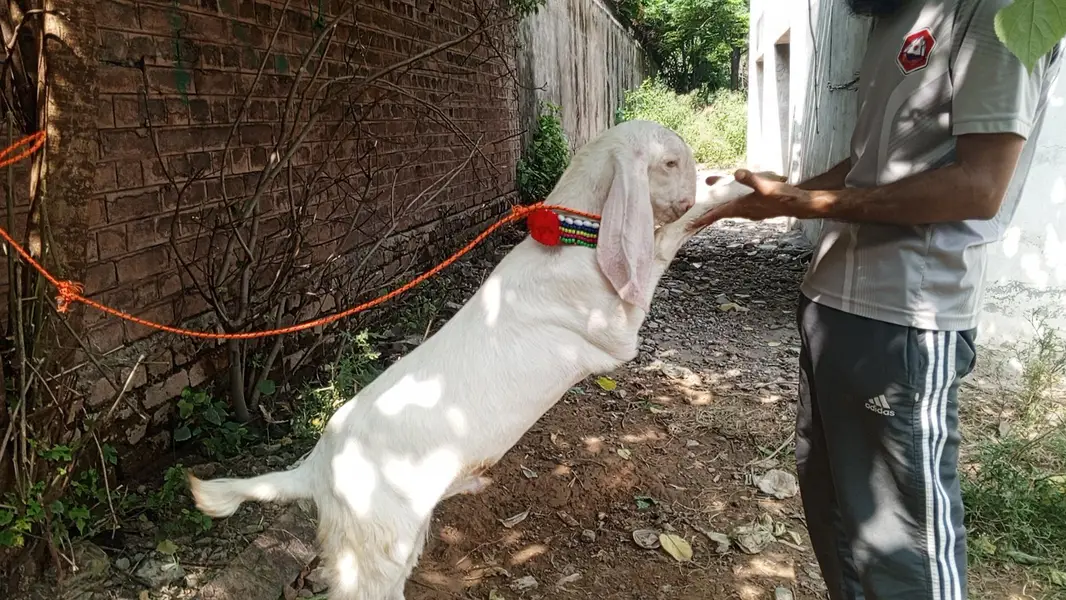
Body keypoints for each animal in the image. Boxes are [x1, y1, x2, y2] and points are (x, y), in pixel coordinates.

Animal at [188, 120, 752, 600]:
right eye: (672, 161)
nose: (712, 179)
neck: (575, 238)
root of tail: (314, 470)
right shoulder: (620, 331)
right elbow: (662, 245)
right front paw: (728, 191)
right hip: (376, 554)